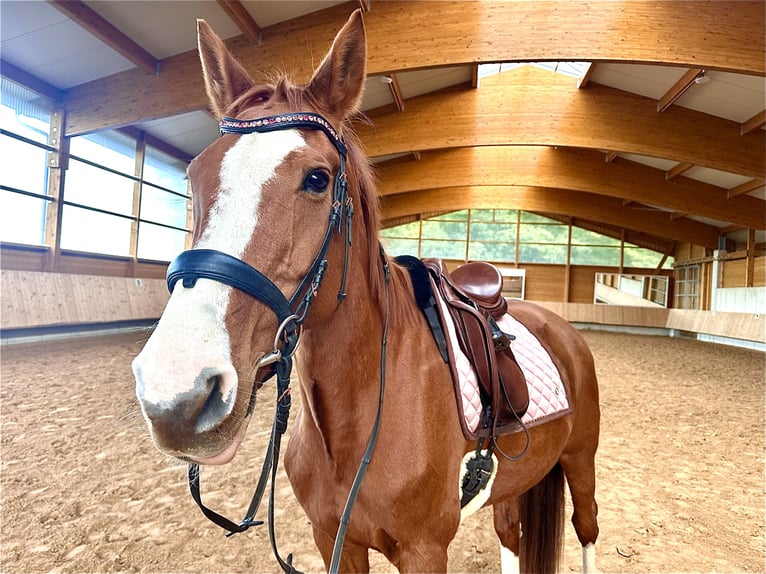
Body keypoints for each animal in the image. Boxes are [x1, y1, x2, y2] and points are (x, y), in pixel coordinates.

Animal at [132, 9, 600, 573]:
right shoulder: (333, 538)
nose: (176, 396)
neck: (353, 429)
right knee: (511, 533)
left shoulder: (424, 551)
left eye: (317, 178)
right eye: (193, 174)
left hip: (581, 459)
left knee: (587, 528)